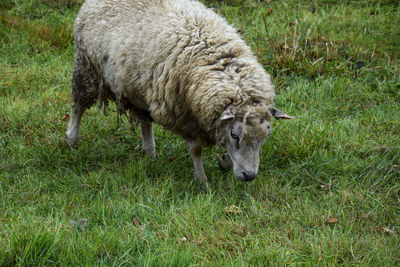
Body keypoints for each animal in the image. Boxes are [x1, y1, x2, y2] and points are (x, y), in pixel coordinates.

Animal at [66, 0, 294, 192]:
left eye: (266, 136)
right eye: (235, 135)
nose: (249, 176)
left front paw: (224, 162)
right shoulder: (184, 116)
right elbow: (196, 150)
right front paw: (202, 182)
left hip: (138, 87)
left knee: (144, 121)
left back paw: (150, 152)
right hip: (87, 68)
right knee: (78, 105)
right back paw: (71, 140)